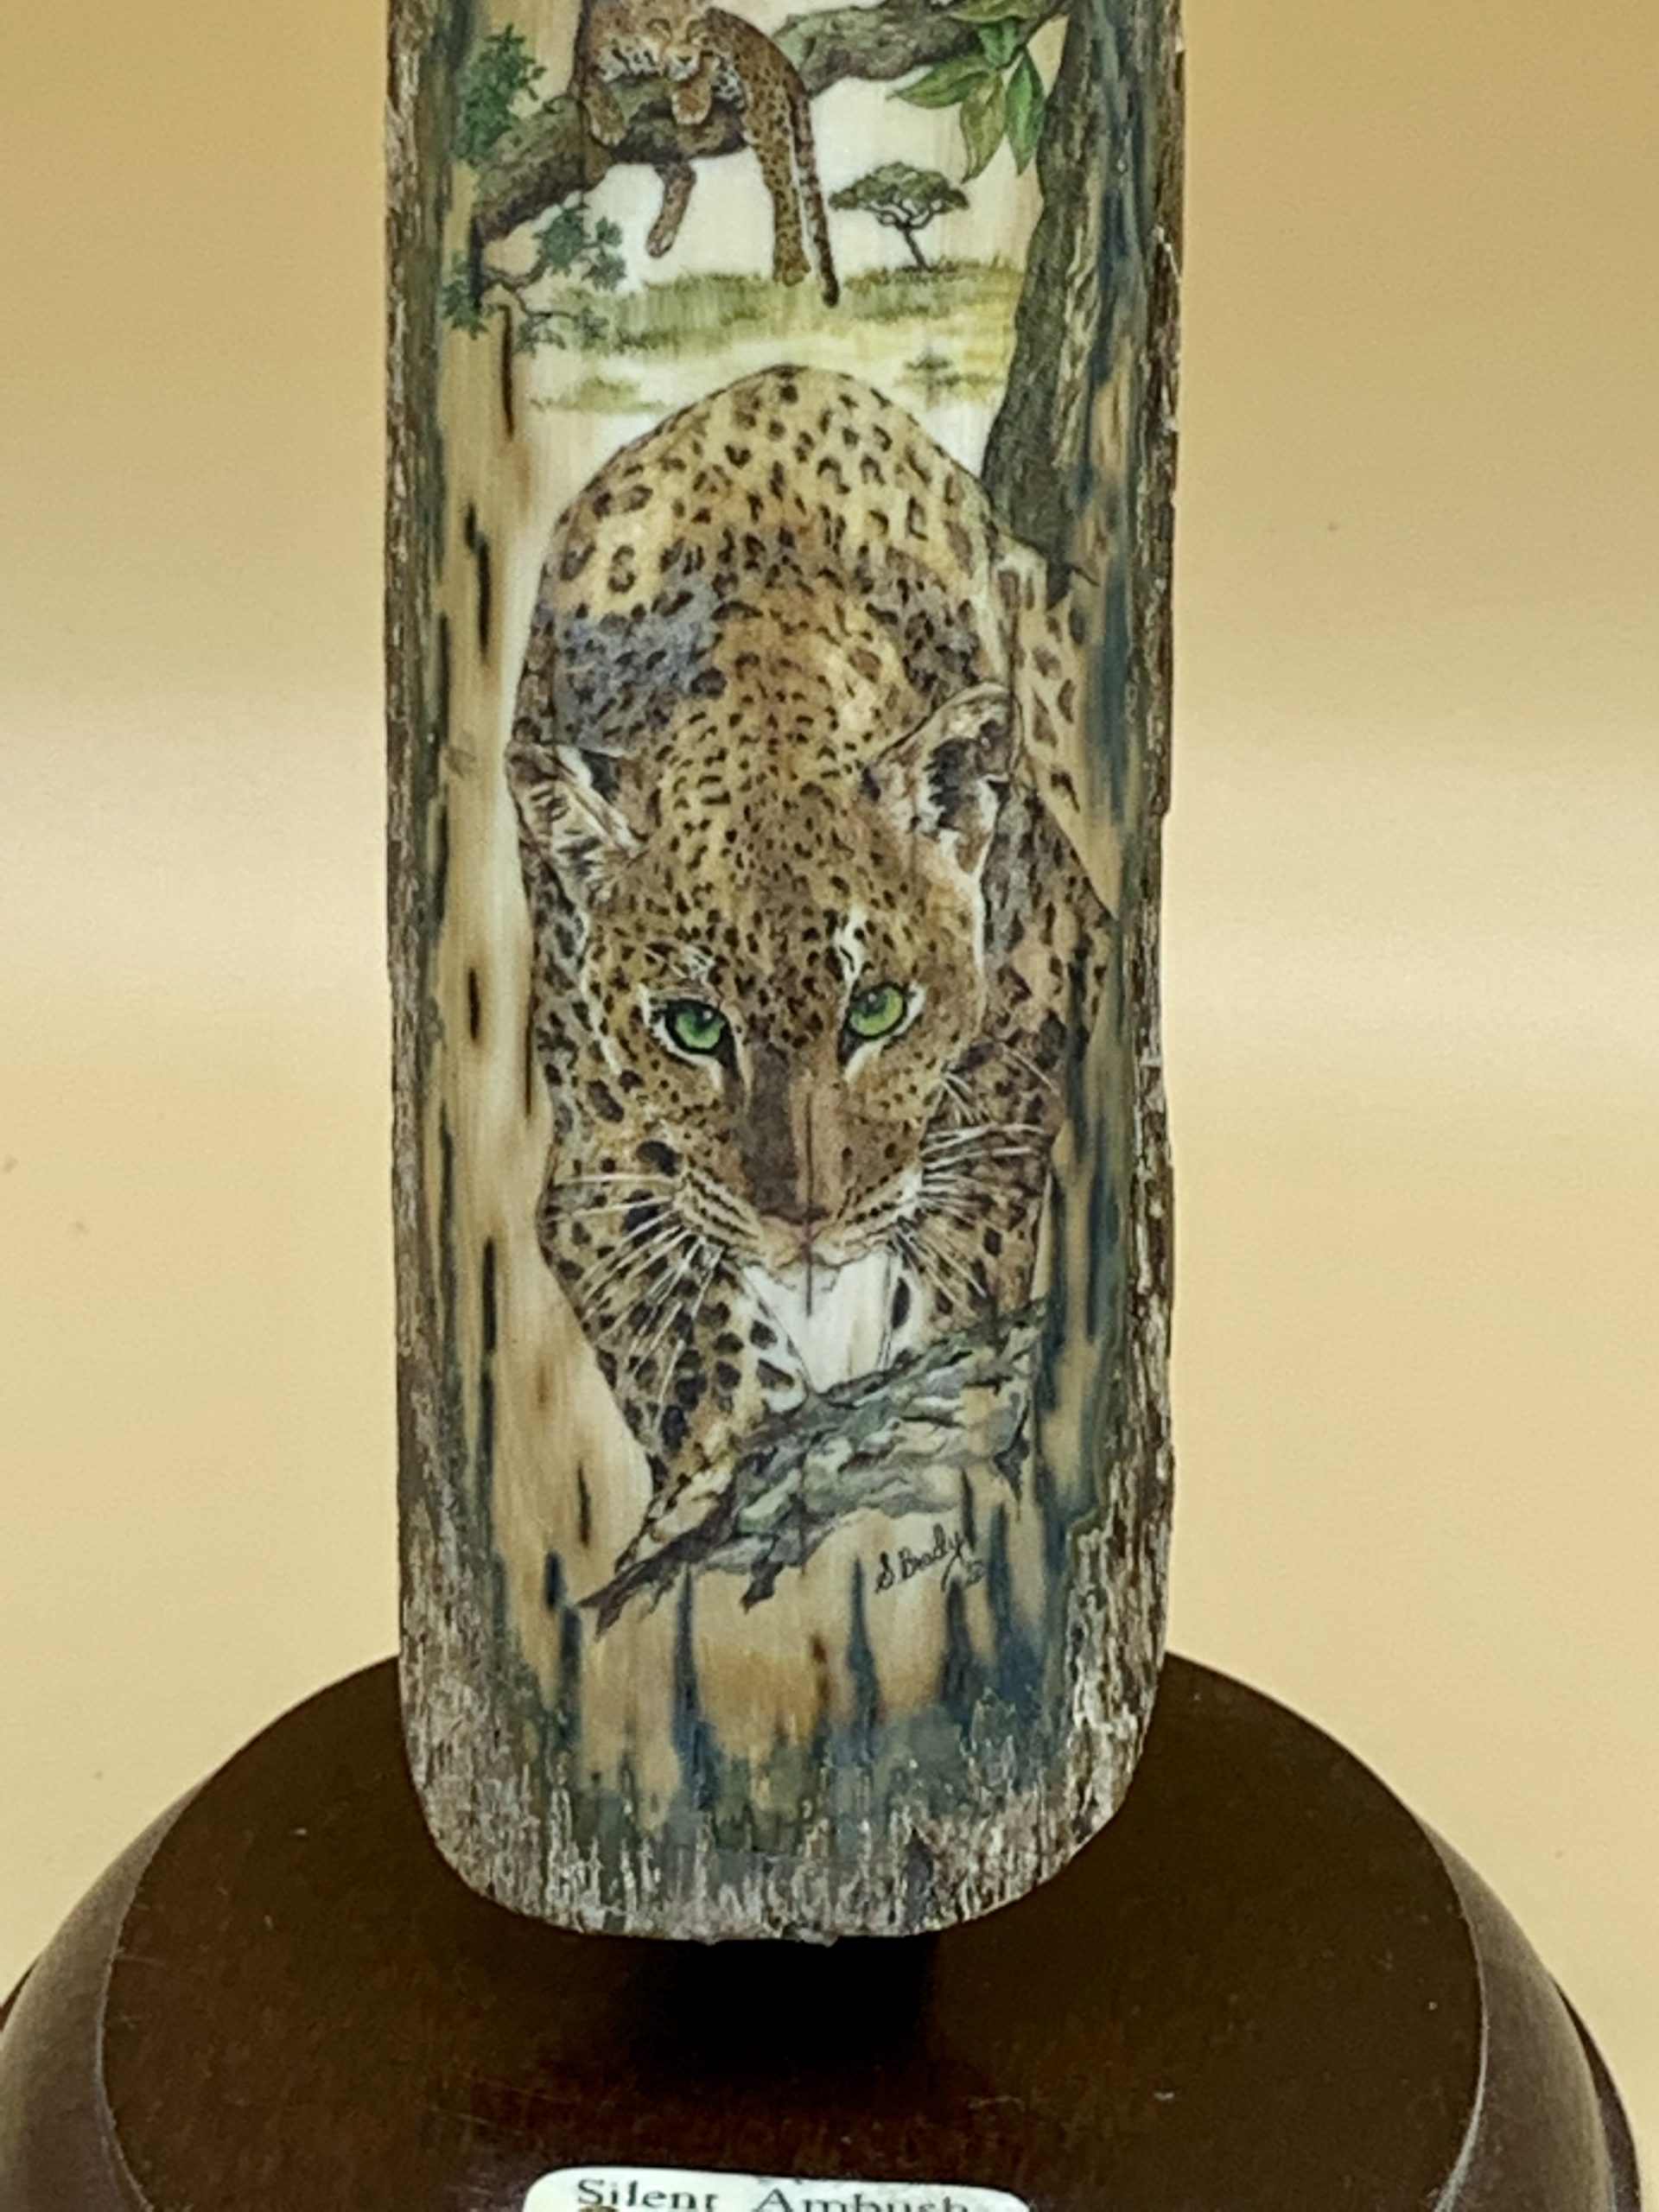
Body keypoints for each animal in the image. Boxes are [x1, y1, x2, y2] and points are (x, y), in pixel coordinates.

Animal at [506, 365, 1113, 1602]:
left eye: (876, 1008)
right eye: (694, 1027)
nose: (806, 1220)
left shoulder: (1036, 1020)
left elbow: (966, 1243)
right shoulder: (598, 1168)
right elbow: (687, 1345)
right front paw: (706, 1489)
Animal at [573, 0, 839, 304]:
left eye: (694, 26)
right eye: (660, 24)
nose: (685, 58)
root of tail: (771, 48)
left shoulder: (715, 51)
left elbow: (705, 63)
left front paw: (691, 99)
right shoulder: (583, 60)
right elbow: (589, 80)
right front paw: (609, 122)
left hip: (764, 114)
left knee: (785, 187)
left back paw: (790, 261)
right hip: (659, 142)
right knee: (685, 174)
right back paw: (661, 235)